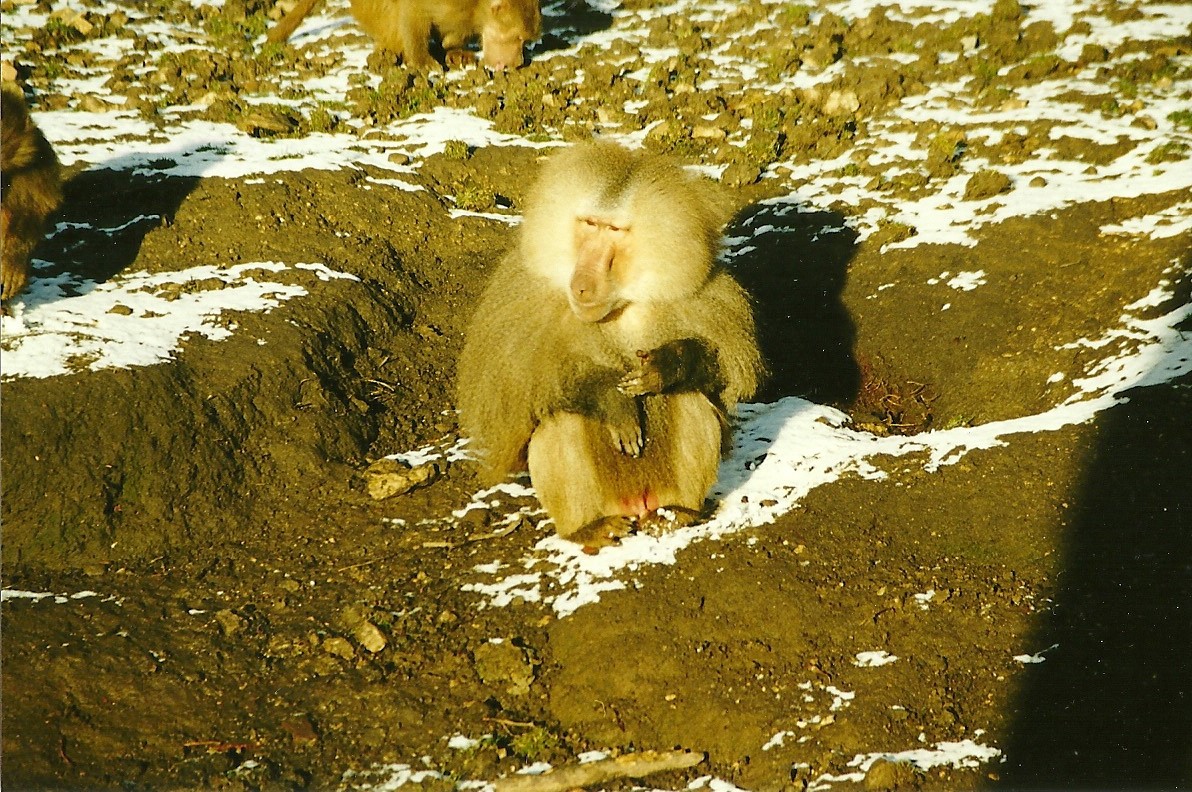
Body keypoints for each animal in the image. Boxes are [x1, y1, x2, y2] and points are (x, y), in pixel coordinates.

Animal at [266, 0, 541, 72]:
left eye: (526, 40)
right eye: (517, 38)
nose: (518, 62)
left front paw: (454, 50)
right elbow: (412, 10)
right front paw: (422, 61)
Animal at [456, 142, 765, 550]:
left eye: (614, 230)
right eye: (589, 225)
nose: (583, 285)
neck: (621, 305)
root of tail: (636, 502)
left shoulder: (708, 295)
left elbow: (720, 376)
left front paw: (667, 364)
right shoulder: (517, 302)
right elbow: (516, 393)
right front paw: (613, 401)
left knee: (687, 397)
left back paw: (677, 513)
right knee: (564, 420)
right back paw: (591, 527)